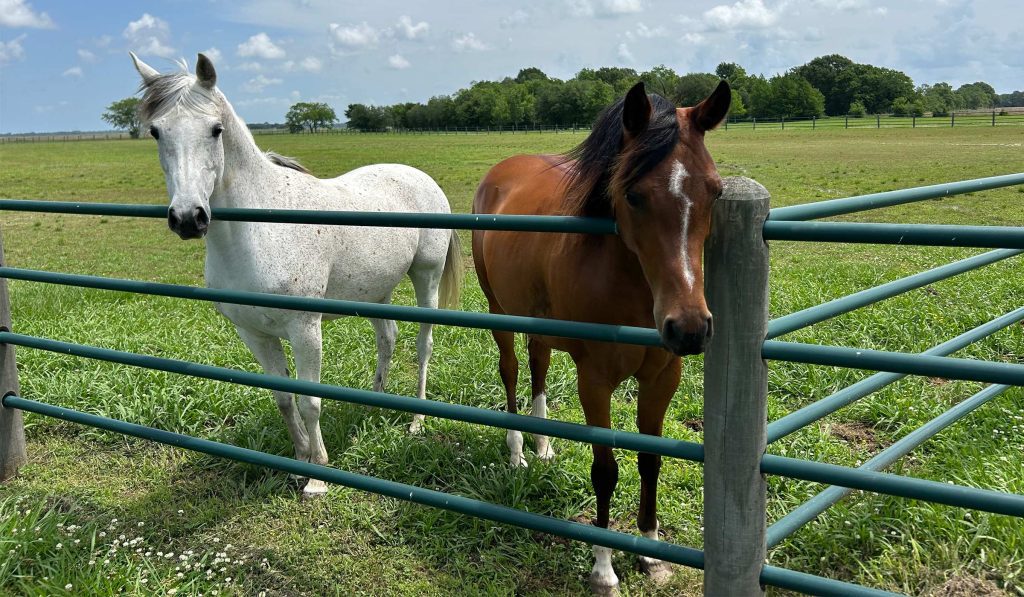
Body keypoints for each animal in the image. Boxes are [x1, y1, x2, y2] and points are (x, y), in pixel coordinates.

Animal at [129, 52, 463, 498]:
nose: (188, 218)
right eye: (156, 131)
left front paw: (318, 476)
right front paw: (299, 461)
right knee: (387, 338)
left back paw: (417, 420)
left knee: (423, 345)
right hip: (376, 293)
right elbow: (284, 399)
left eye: (216, 130)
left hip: (426, 277)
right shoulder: (255, 334)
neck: (261, 228)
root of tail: (418, 176)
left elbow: (309, 401)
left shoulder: (305, 330)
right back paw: (373, 403)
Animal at [471, 81, 730, 593]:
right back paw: (517, 452)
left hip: (540, 324)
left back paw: (544, 445)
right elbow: (605, 471)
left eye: (714, 190)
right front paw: (603, 568)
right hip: (499, 313)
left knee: (538, 365)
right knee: (511, 370)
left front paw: (650, 554)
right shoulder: (594, 382)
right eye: (632, 195)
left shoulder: (662, 377)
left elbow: (650, 460)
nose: (689, 328)